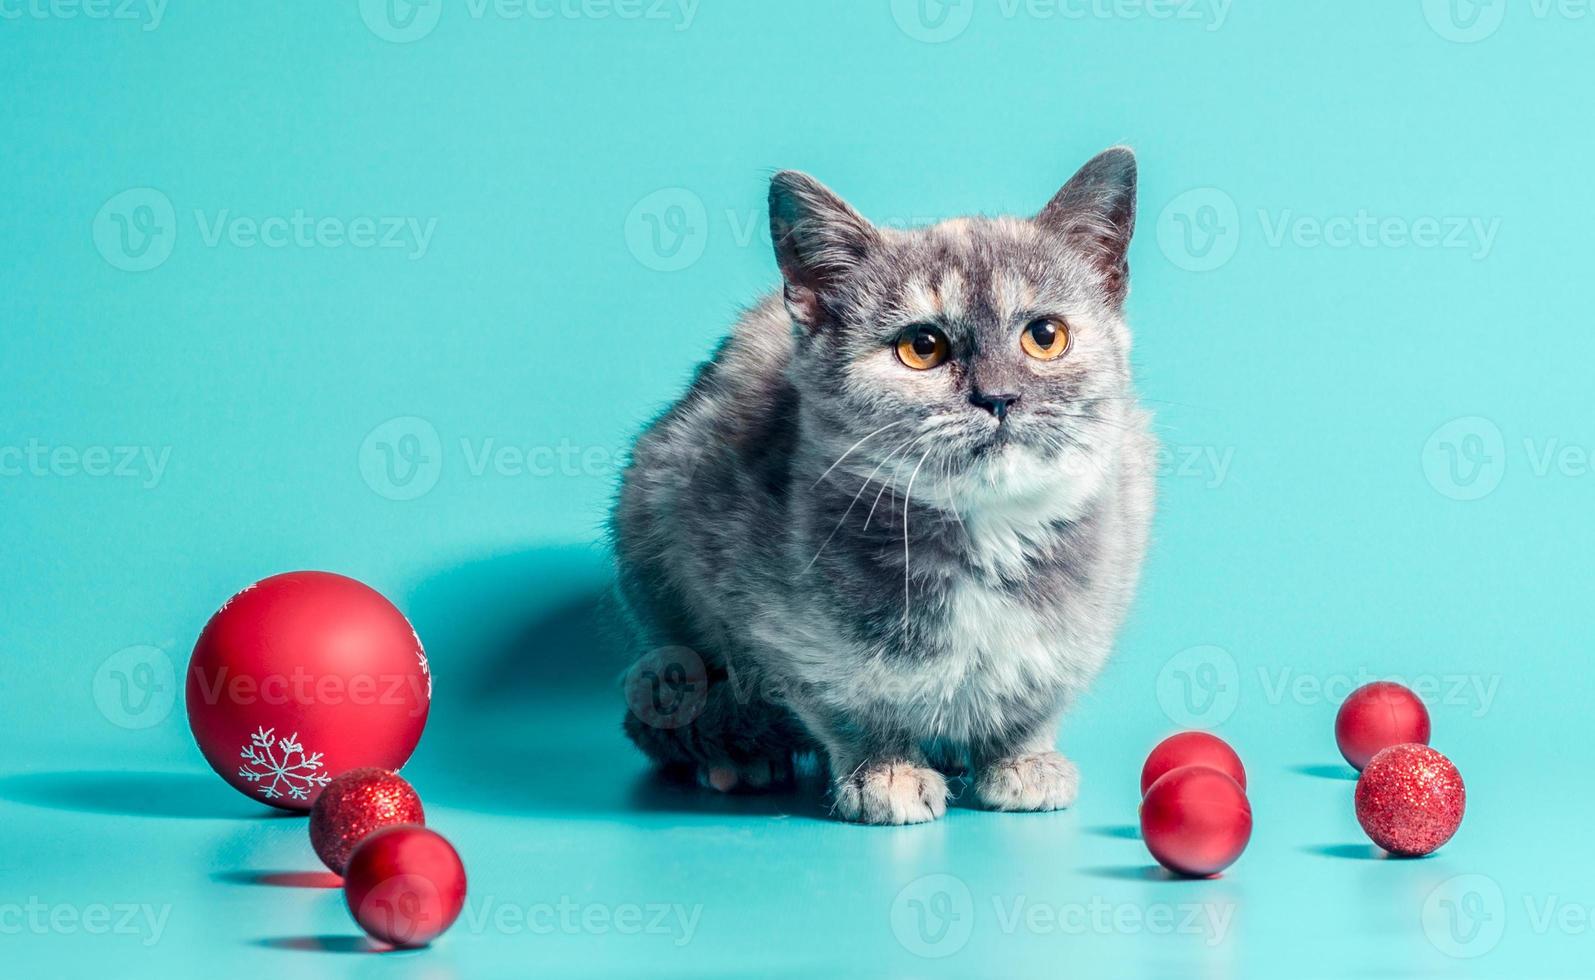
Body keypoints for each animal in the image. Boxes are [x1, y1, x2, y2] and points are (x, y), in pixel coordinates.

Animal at [612, 150, 1161, 823]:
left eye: (1045, 335)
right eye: (922, 347)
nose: (999, 397)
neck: (984, 534)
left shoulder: (1091, 598)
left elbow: (1034, 692)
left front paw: (1022, 761)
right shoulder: (766, 615)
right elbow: (846, 700)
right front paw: (888, 772)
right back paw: (739, 757)